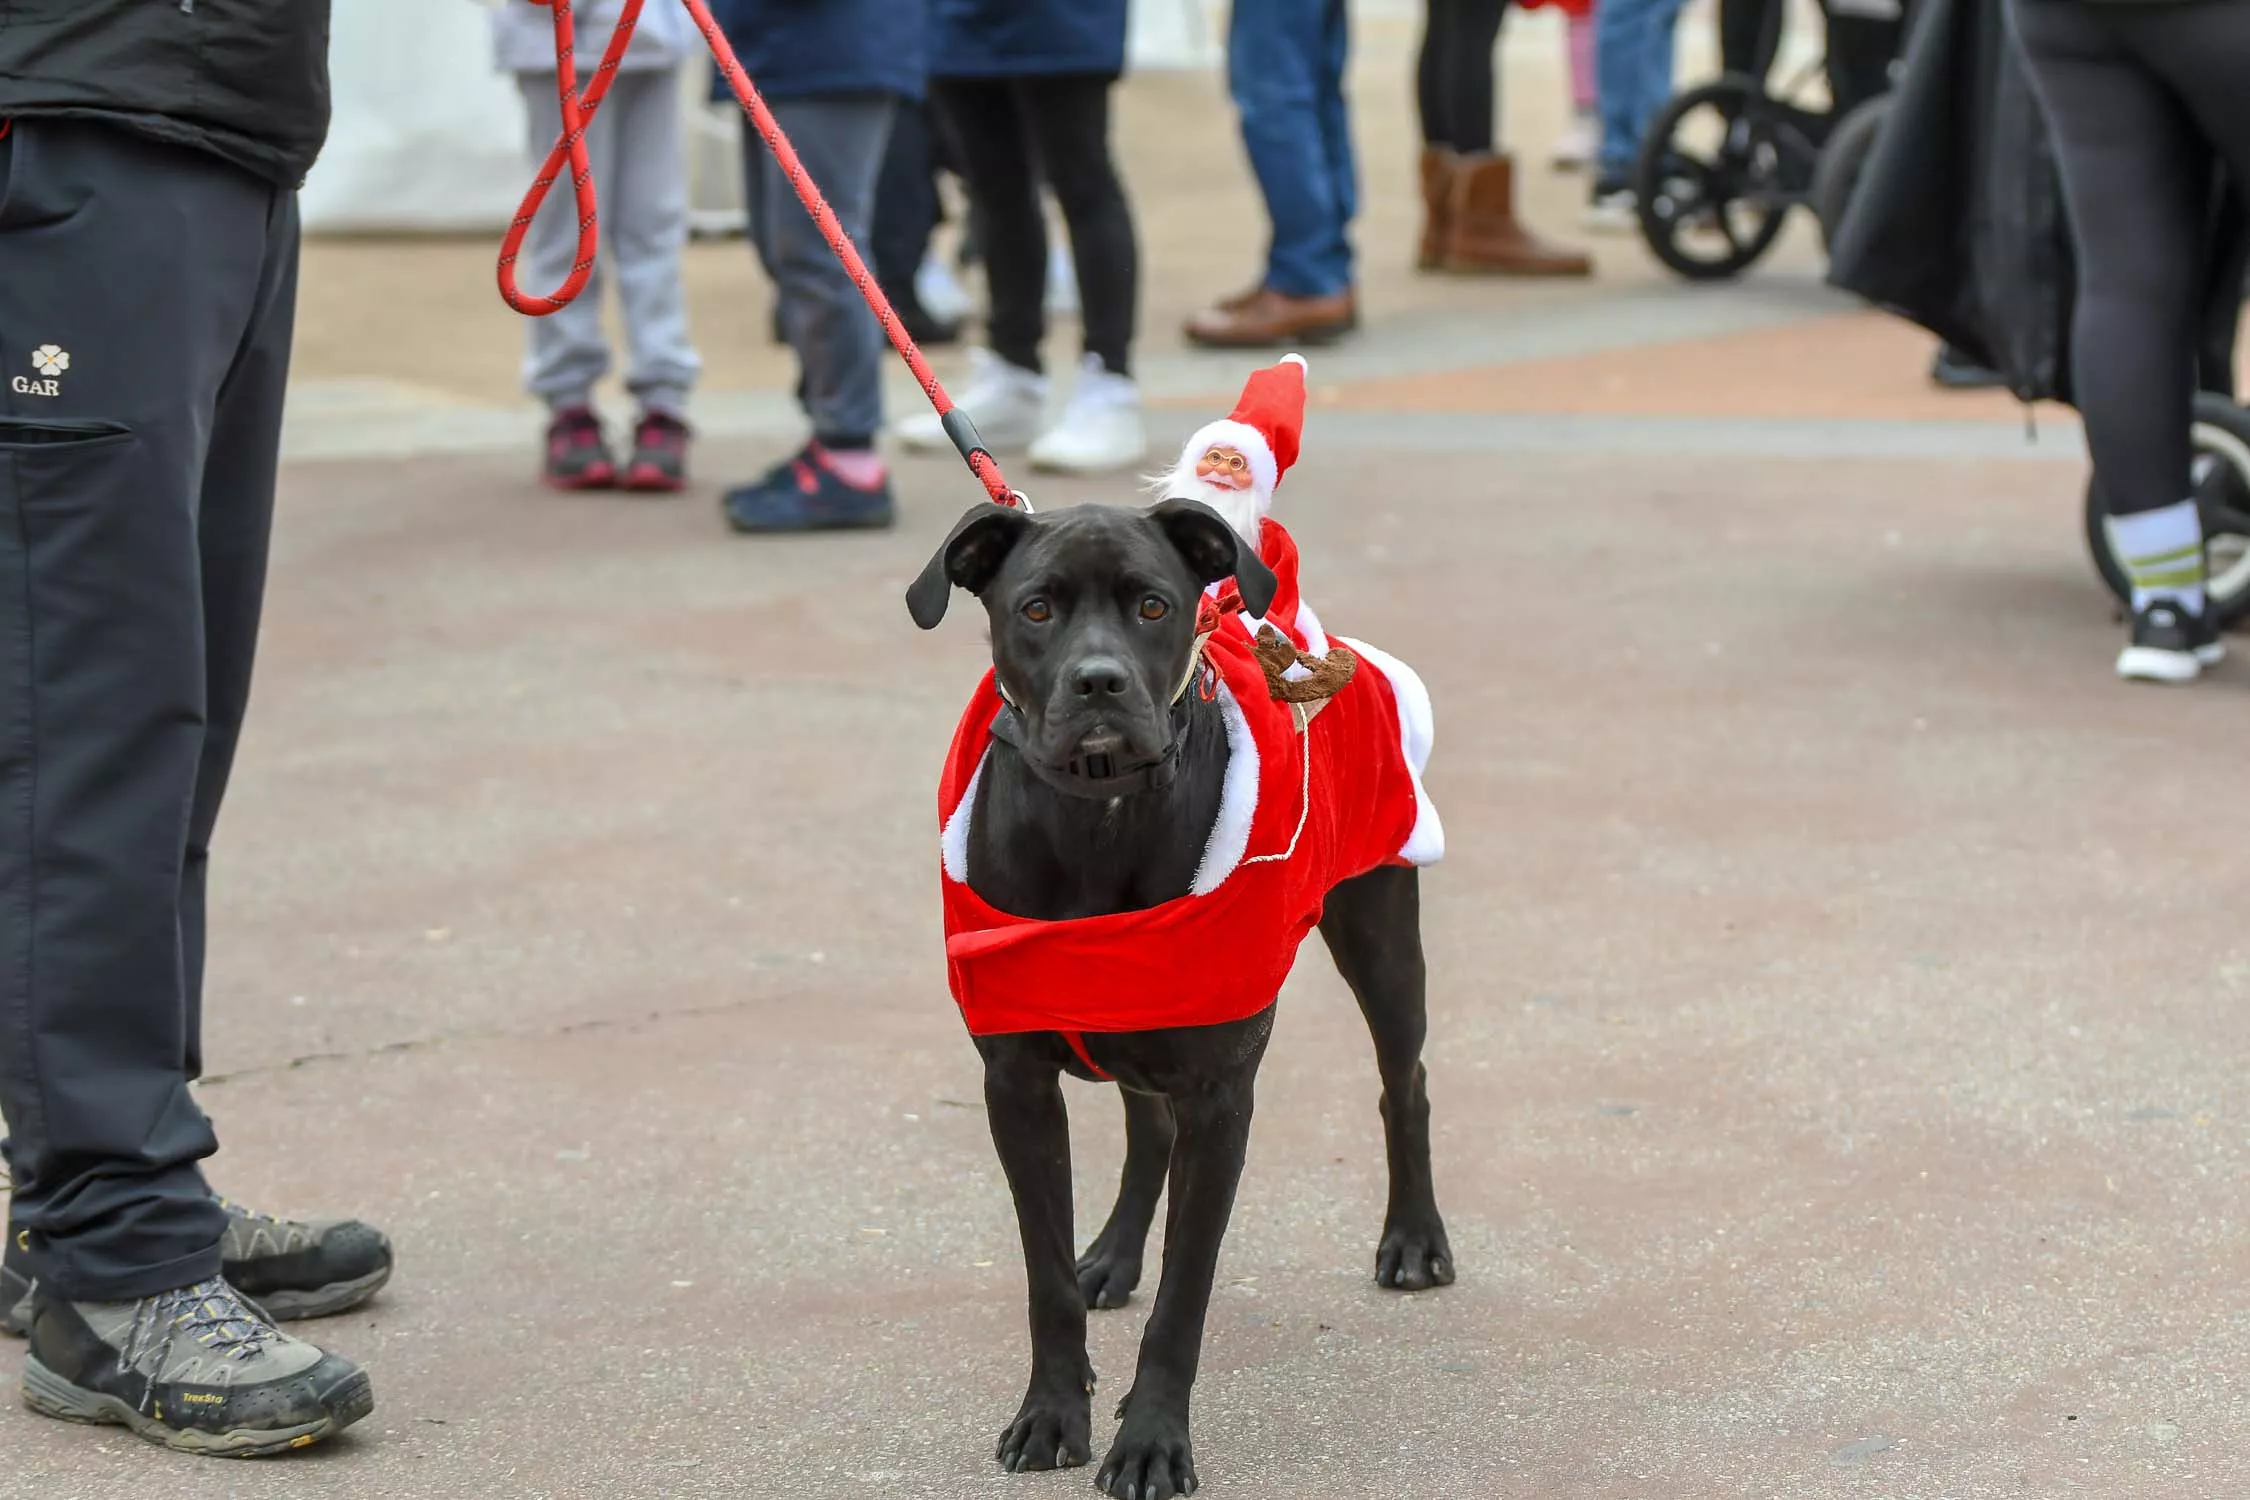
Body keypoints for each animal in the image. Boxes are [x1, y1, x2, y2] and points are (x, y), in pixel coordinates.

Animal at [904, 499, 1449, 1493]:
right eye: (1036, 608)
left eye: (1154, 605)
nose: (1100, 682)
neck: (1099, 816)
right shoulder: (1016, 1085)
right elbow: (1045, 1277)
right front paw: (1052, 1413)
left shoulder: (1219, 1096)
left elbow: (1184, 1298)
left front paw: (1152, 1442)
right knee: (1145, 1129)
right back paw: (1116, 1256)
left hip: (1381, 930)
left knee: (1407, 1083)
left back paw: (1415, 1240)